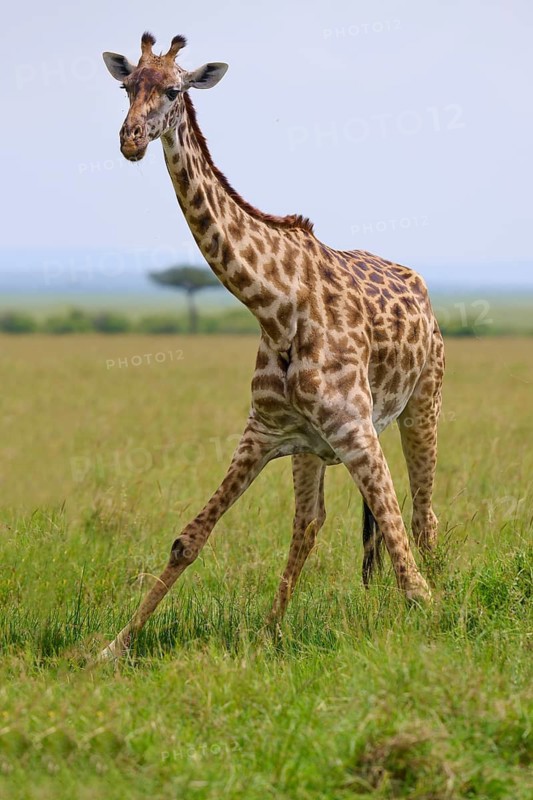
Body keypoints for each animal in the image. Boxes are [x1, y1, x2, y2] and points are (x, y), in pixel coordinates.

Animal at [100, 33, 445, 658]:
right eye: (126, 85)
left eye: (174, 89)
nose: (131, 139)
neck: (274, 306)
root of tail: (420, 288)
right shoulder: (263, 433)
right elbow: (188, 539)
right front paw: (112, 647)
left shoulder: (356, 430)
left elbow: (399, 541)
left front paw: (435, 613)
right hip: (313, 448)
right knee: (310, 523)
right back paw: (269, 630)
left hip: (422, 403)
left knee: (423, 517)